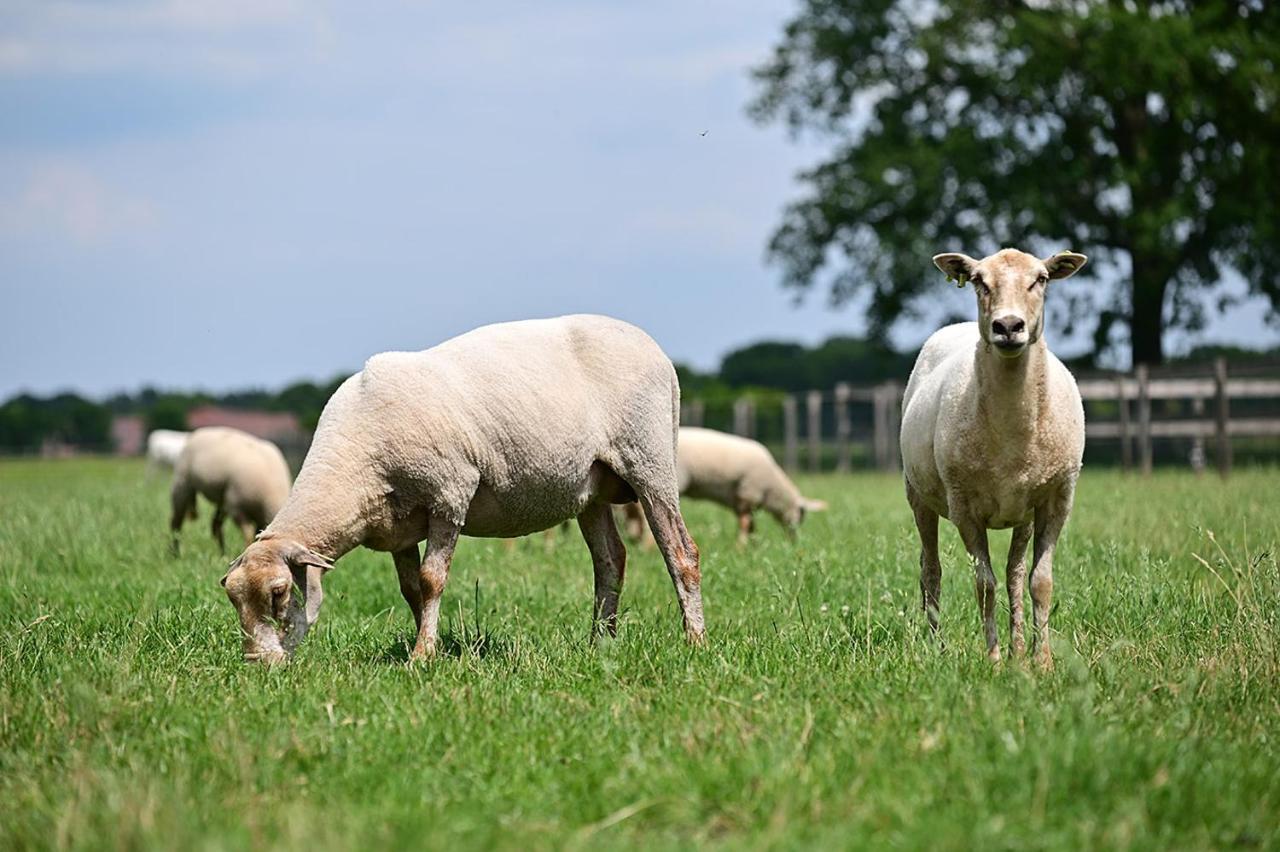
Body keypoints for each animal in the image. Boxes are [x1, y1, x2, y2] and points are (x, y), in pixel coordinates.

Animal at [217, 313, 701, 665]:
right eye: (233, 598)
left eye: (279, 593)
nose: (258, 664)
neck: (354, 467)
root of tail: (657, 353)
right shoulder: (397, 524)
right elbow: (411, 589)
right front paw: (429, 643)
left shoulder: (449, 494)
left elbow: (432, 581)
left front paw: (422, 657)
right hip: (591, 486)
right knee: (610, 560)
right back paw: (601, 643)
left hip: (649, 461)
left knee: (681, 554)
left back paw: (694, 642)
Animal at [675, 424, 824, 544]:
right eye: (802, 513)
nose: (794, 540)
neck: (773, 490)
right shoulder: (748, 493)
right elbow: (745, 524)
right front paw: (741, 546)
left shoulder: (740, 500)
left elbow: (751, 526)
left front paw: (753, 545)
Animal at [901, 245, 1090, 665]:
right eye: (978, 281)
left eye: (1041, 279)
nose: (1007, 326)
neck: (1012, 436)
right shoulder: (964, 507)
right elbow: (983, 585)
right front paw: (993, 659)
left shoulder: (1058, 499)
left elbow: (1040, 582)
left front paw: (1040, 660)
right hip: (918, 494)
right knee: (931, 570)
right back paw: (937, 646)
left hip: (1023, 512)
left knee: (1015, 574)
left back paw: (1020, 648)